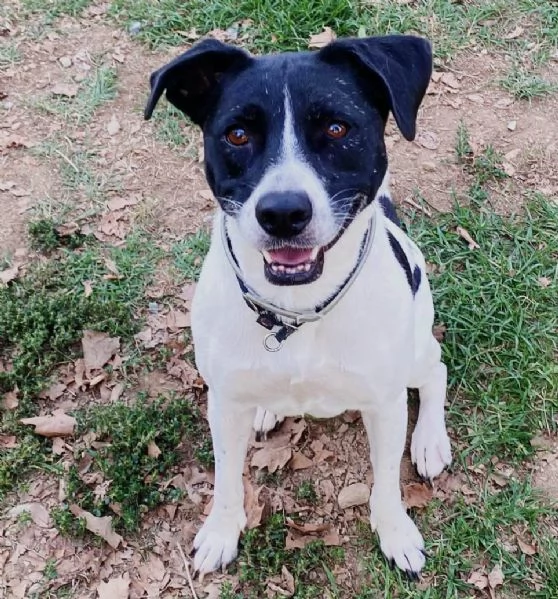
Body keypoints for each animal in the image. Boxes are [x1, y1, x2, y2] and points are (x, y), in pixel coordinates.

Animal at [145, 35, 456, 580]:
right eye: (238, 135)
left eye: (336, 128)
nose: (283, 213)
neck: (297, 312)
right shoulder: (223, 401)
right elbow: (226, 478)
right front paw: (221, 532)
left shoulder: (385, 401)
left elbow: (386, 483)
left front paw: (396, 533)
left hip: (416, 347)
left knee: (435, 370)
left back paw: (430, 441)